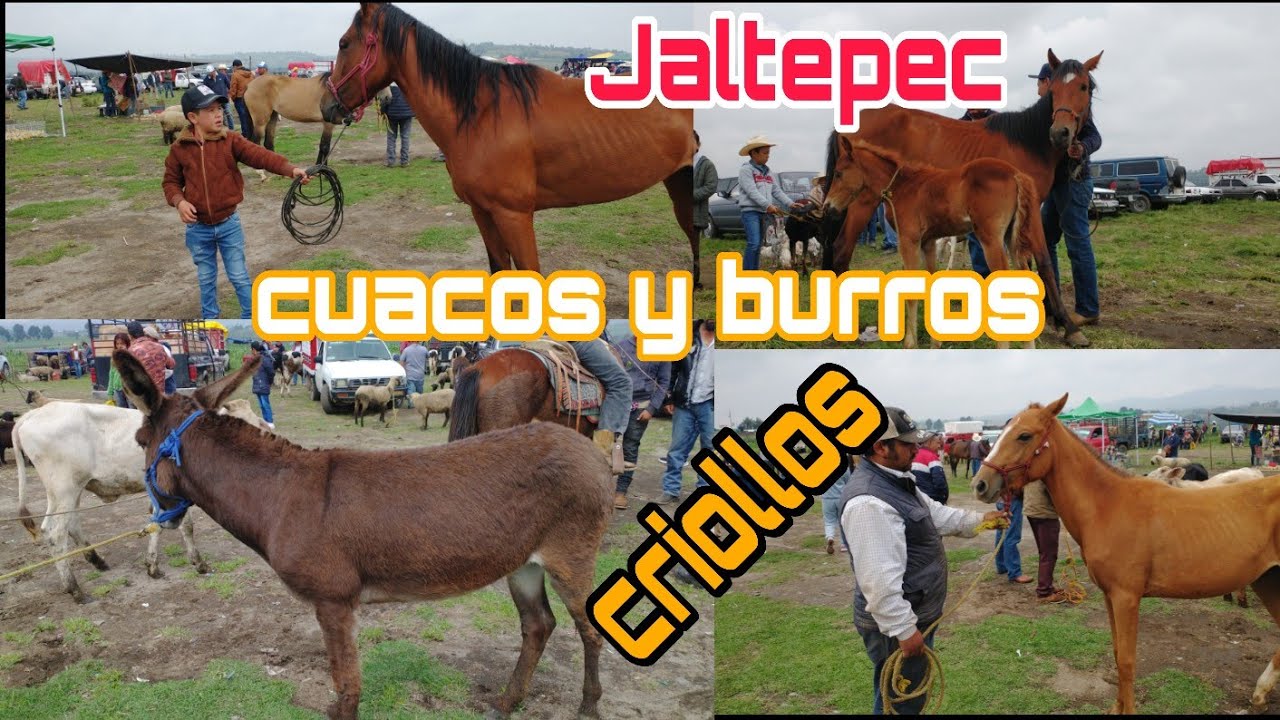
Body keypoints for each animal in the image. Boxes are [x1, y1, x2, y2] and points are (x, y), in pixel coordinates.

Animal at [111, 349, 612, 720]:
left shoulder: (333, 602)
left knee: (589, 630)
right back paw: (508, 702)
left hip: (571, 554)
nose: (161, 518)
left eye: (139, 441)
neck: (280, 497)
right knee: (538, 626)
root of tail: (588, 449)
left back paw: (588, 705)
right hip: (523, 563)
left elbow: (348, 689)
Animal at [320, 3, 701, 286]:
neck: (482, 113)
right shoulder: (482, 211)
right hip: (678, 179)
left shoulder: (514, 215)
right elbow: (500, 270)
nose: (326, 106)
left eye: (344, 43)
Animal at [825, 138, 1076, 348]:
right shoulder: (928, 242)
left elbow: (910, 291)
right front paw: (935, 343)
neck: (902, 186)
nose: (827, 207)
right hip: (1011, 239)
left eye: (838, 173)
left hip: (991, 239)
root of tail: (1015, 173)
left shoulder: (908, 240)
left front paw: (910, 343)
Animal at [971, 394, 1280, 714]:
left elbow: (1127, 661)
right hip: (1268, 580)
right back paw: (1260, 692)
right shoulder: (1110, 596)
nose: (980, 484)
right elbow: (1117, 652)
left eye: (1024, 435)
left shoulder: (1126, 598)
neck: (1108, 507)